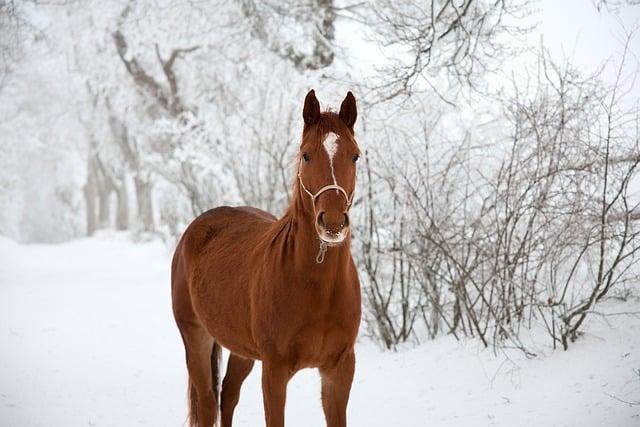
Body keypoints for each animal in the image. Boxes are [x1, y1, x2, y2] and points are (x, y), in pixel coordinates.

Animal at [171, 88, 360, 426]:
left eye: (355, 155)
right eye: (306, 155)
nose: (333, 222)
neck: (318, 287)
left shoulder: (339, 370)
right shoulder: (274, 371)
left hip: (241, 350)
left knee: (228, 396)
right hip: (195, 338)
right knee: (207, 403)